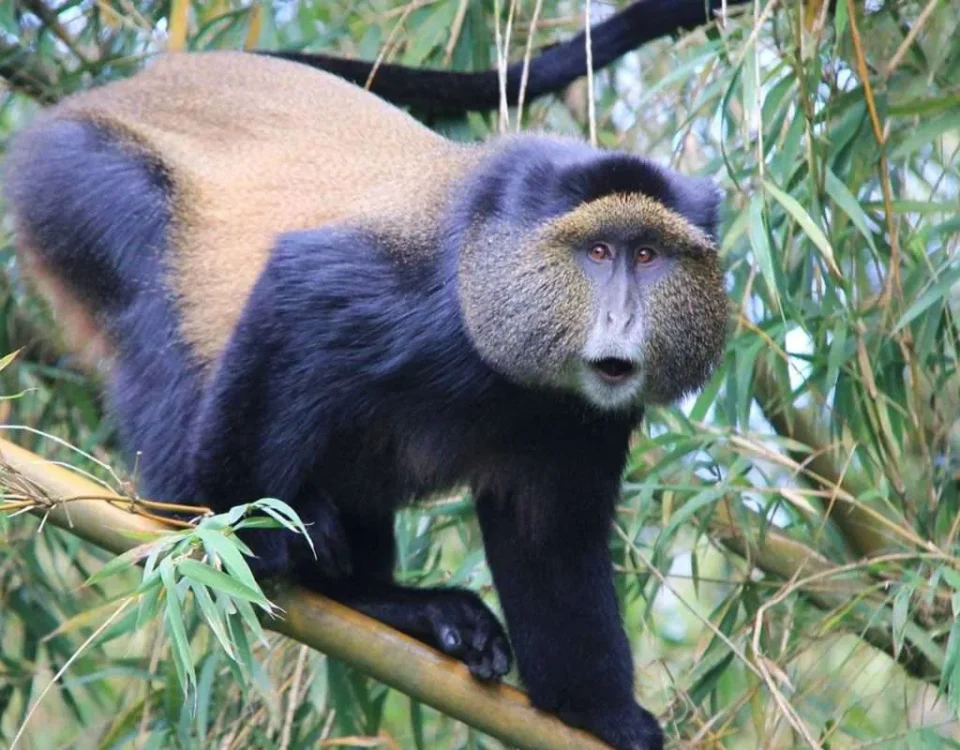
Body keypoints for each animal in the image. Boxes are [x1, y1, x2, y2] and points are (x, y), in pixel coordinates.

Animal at [4, 51, 728, 750]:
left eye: (649, 254)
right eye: (599, 251)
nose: (622, 320)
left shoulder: (586, 424)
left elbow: (548, 541)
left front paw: (602, 714)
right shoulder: (410, 299)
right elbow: (296, 289)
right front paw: (243, 532)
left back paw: (389, 605)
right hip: (78, 180)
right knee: (155, 309)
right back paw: (203, 516)